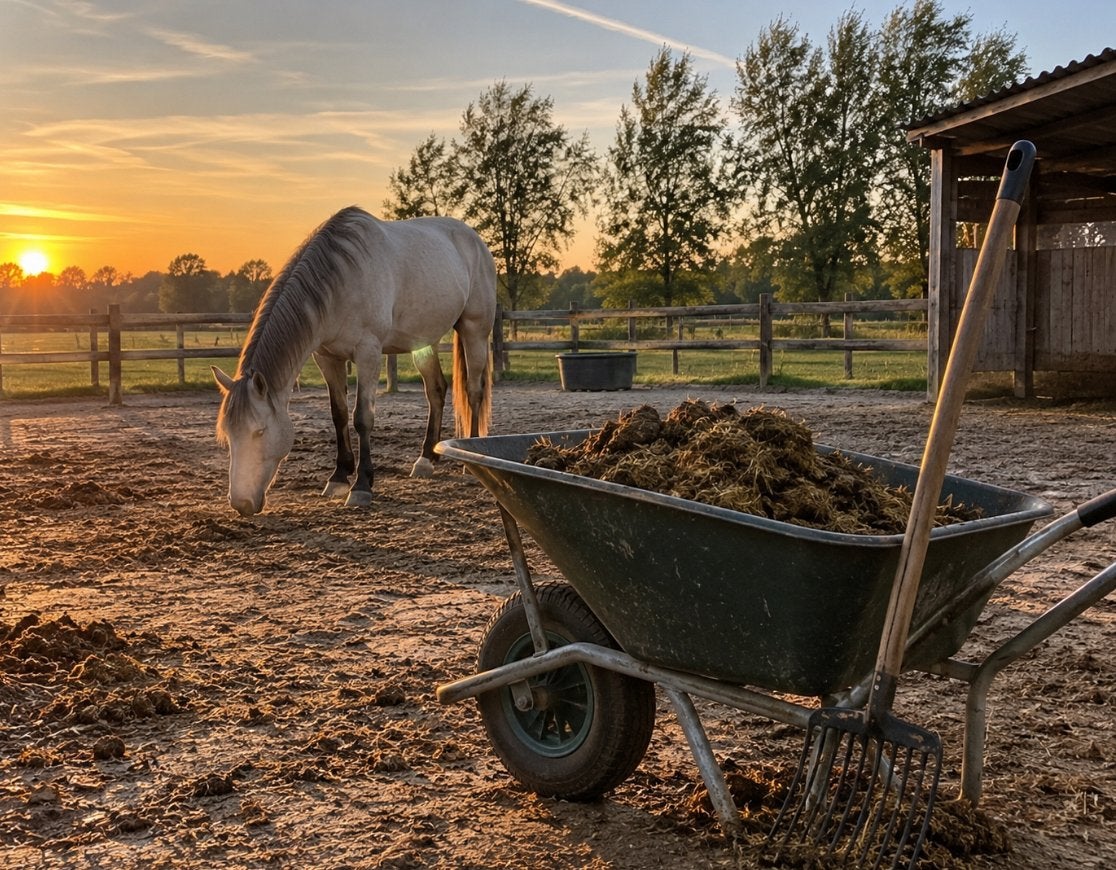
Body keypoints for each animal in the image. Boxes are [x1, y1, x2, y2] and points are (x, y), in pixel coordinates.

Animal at [213, 206, 496, 517]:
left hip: (474, 330)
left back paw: (470, 460)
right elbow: (338, 414)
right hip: (423, 341)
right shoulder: (327, 358)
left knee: (474, 390)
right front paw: (338, 477)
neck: (341, 281)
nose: (241, 503)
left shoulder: (368, 353)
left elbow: (362, 417)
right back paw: (426, 459)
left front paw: (361, 486)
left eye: (259, 431)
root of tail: (475, 240)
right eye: (228, 433)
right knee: (436, 390)